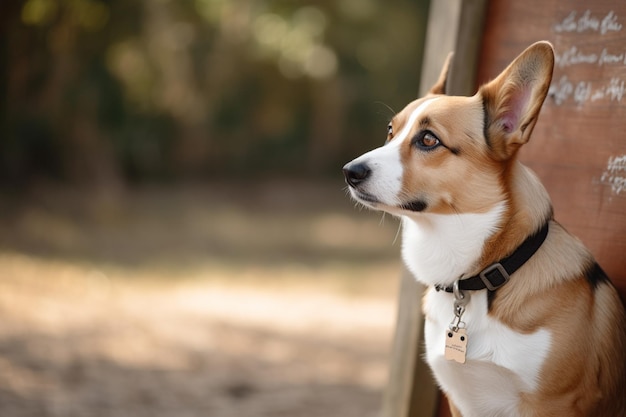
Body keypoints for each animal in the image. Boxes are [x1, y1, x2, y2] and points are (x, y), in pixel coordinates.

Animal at [342, 39, 624, 416]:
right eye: (391, 131)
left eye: (428, 140)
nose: (349, 172)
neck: (478, 280)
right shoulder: (461, 401)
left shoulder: (553, 403)